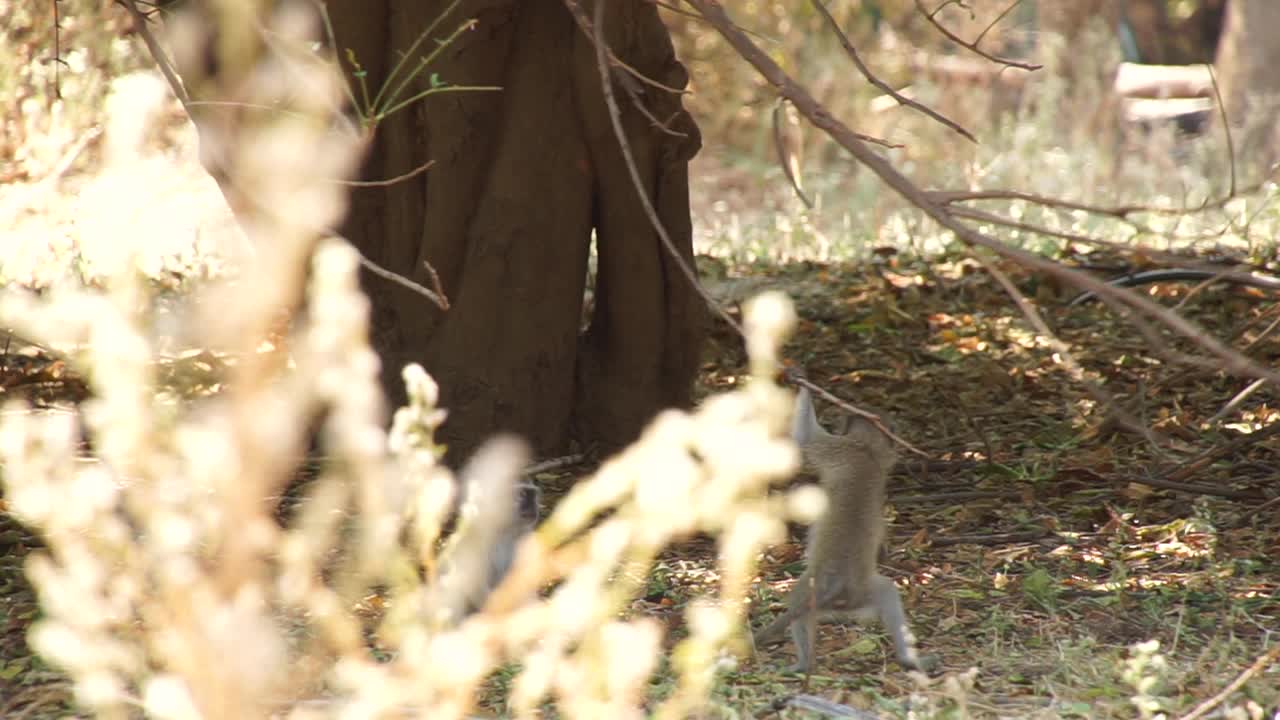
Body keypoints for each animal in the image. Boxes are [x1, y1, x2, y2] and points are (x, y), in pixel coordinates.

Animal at [752, 386, 926, 671]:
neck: (866, 447)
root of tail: (837, 582)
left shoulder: (836, 449)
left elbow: (805, 439)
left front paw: (802, 381)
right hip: (857, 597)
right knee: (886, 594)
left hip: (821, 591)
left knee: (802, 604)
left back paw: (804, 663)